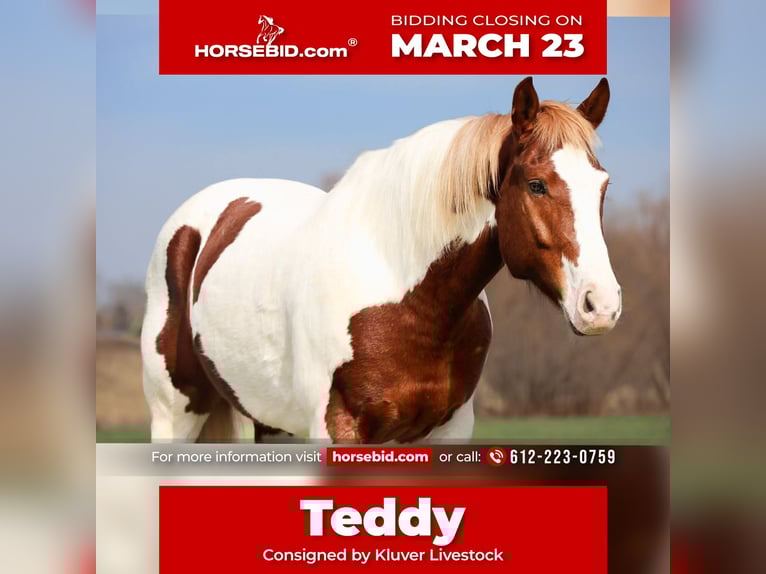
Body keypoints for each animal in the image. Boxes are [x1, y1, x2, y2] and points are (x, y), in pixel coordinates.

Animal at [141, 77, 622, 443]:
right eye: (536, 184)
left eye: (603, 185)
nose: (601, 305)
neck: (412, 302)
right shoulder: (337, 429)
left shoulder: (446, 432)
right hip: (176, 414)